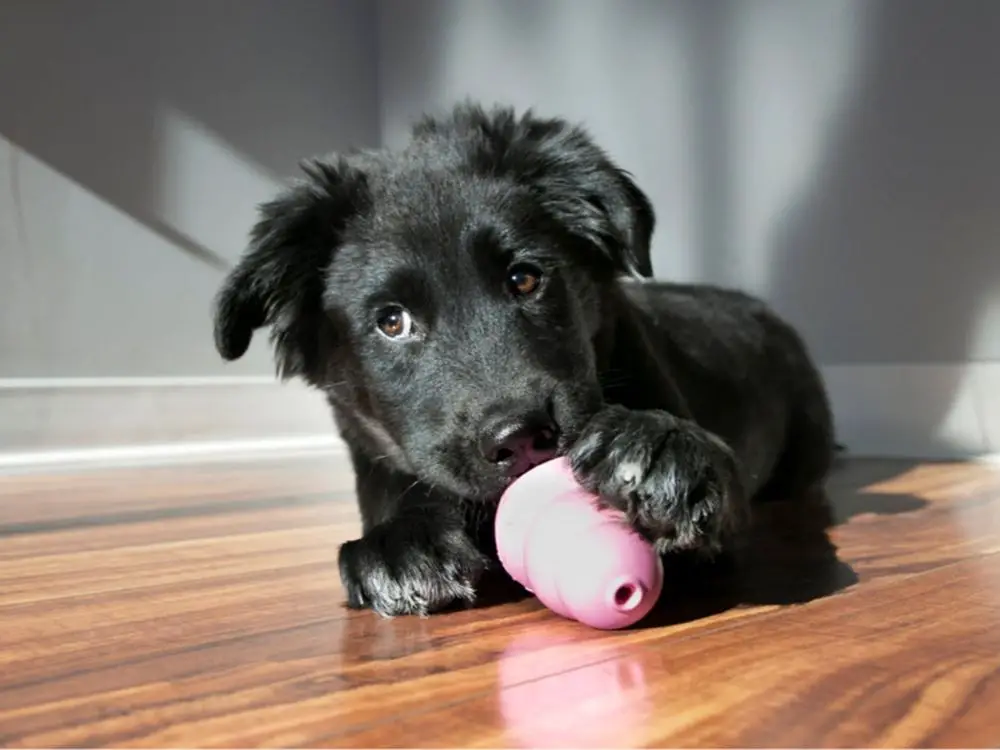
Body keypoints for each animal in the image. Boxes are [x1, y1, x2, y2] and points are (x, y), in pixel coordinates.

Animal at [213, 103, 836, 620]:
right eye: (392, 322)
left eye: (525, 278)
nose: (520, 439)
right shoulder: (371, 450)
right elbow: (398, 483)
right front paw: (403, 540)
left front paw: (663, 447)